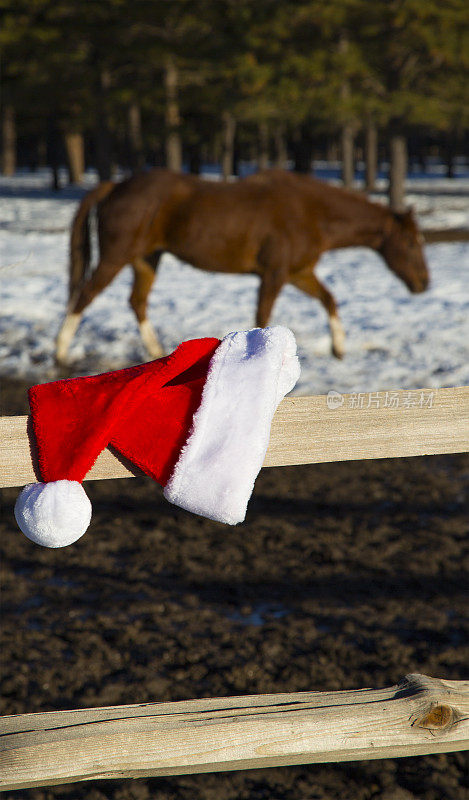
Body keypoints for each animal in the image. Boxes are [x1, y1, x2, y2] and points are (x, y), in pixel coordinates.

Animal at [54, 169, 428, 362]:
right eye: (412, 242)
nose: (424, 283)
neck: (310, 211)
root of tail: (115, 185)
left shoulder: (299, 273)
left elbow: (329, 299)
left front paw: (338, 348)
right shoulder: (275, 274)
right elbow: (262, 317)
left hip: (146, 259)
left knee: (137, 302)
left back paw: (158, 353)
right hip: (115, 258)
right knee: (84, 297)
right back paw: (60, 352)